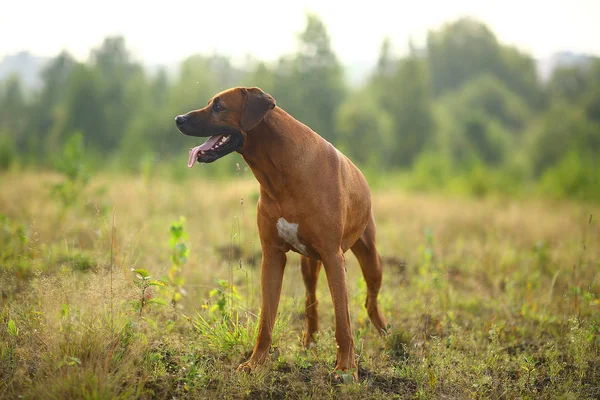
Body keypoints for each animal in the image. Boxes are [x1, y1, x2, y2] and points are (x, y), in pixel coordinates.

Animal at [176, 86, 386, 378]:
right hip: (310, 264)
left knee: (370, 300)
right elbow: (266, 320)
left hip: (369, 257)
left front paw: (346, 368)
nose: (179, 119)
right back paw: (309, 342)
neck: (282, 171)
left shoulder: (334, 257)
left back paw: (384, 333)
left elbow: (343, 323)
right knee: (311, 301)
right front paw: (255, 363)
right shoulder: (273, 256)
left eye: (218, 106)